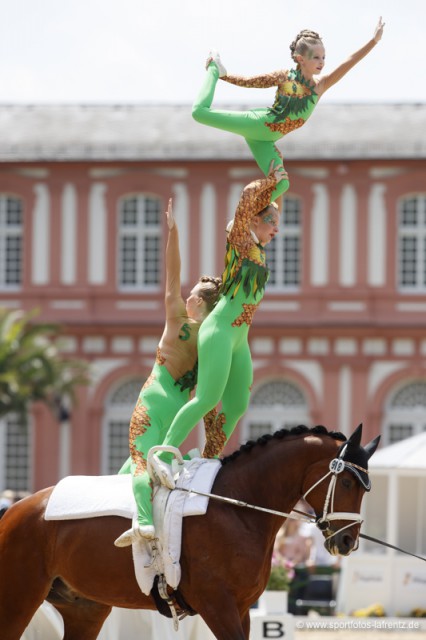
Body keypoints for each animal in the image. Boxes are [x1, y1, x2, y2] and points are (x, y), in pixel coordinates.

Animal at [0, 422, 380, 636]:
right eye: (347, 482)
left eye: (367, 489)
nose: (347, 541)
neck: (236, 507)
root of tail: (15, 510)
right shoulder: (217, 606)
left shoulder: (242, 609)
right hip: (18, 600)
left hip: (85, 609)